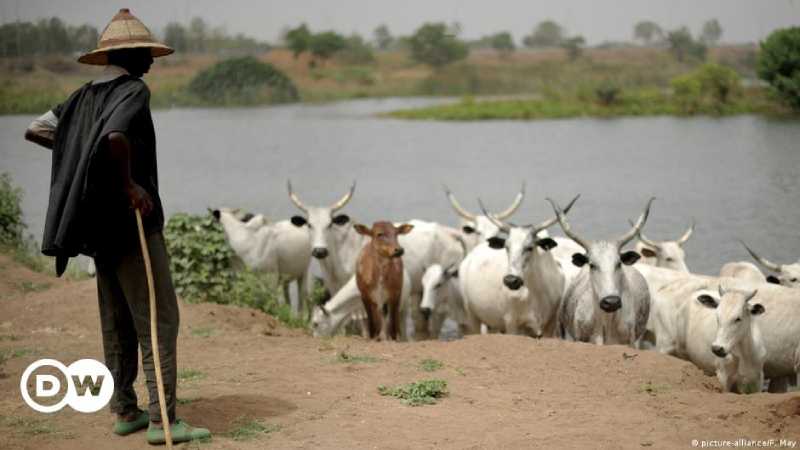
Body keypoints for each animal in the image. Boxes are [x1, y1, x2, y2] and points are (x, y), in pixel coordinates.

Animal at [456, 197, 580, 338]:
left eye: (529, 247)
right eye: (506, 247)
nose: (511, 280)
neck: (535, 290)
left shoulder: (551, 324)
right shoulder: (512, 323)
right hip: (472, 316)